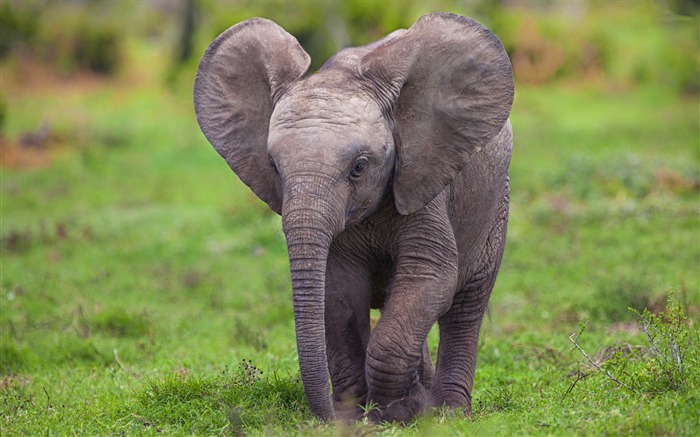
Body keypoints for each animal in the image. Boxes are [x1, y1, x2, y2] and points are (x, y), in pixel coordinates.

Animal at [196, 12, 516, 422]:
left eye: (359, 168)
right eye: (274, 167)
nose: (330, 415)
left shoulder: (423, 183)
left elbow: (429, 276)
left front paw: (394, 413)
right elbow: (339, 292)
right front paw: (360, 413)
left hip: (496, 202)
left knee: (466, 304)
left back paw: (450, 411)